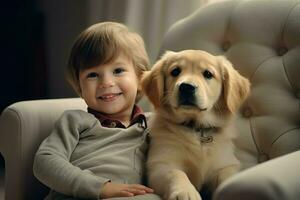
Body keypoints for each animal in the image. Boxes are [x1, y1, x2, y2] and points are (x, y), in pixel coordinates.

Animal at [142, 50, 250, 200]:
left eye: (208, 74)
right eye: (175, 71)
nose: (186, 87)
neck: (198, 129)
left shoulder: (226, 164)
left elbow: (228, 177)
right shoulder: (161, 163)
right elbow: (176, 173)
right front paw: (186, 192)